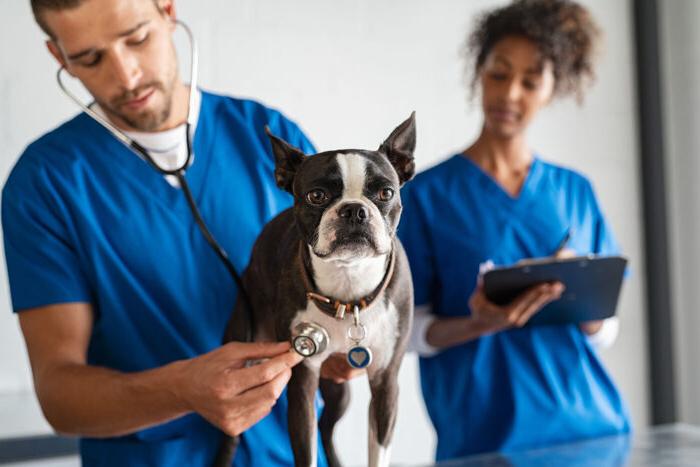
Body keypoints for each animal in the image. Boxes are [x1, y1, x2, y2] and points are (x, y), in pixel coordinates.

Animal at [217, 114, 416, 467]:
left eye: (386, 192)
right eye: (317, 196)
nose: (354, 209)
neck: (348, 288)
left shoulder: (385, 382)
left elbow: (377, 451)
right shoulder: (302, 381)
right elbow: (305, 450)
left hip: (339, 390)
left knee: (326, 427)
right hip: (245, 354)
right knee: (234, 432)